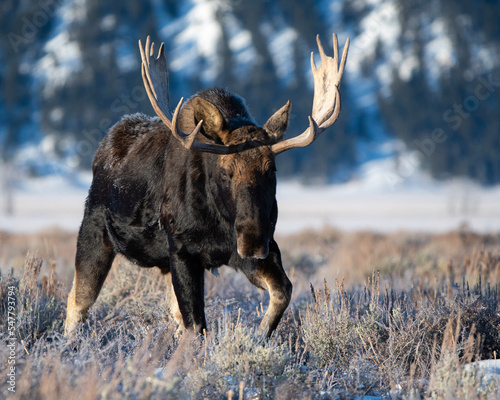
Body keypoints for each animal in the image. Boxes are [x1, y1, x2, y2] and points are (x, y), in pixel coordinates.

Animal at [64, 32, 350, 338]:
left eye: (271, 168)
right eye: (225, 172)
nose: (253, 239)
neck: (219, 219)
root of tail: (103, 146)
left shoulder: (250, 252)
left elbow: (282, 291)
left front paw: (258, 336)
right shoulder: (182, 251)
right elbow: (196, 325)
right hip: (94, 231)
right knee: (77, 301)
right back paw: (68, 342)